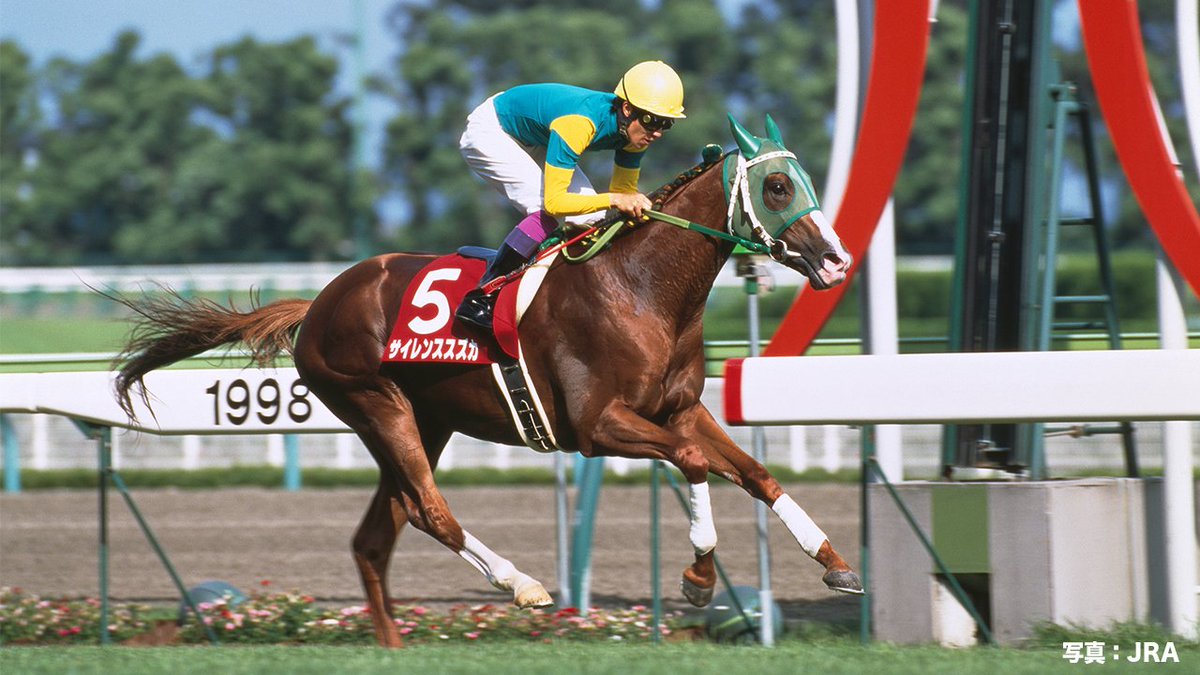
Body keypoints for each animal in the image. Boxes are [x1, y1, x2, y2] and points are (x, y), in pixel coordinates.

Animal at [113, 114, 860, 647]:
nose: (836, 260)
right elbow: (695, 462)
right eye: (777, 187)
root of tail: (320, 301)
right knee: (427, 509)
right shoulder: (598, 426)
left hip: (425, 422)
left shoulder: (677, 409)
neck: (641, 287)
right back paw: (522, 584)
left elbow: (754, 472)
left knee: (376, 535)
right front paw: (699, 577)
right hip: (376, 404)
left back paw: (392, 646)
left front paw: (834, 561)